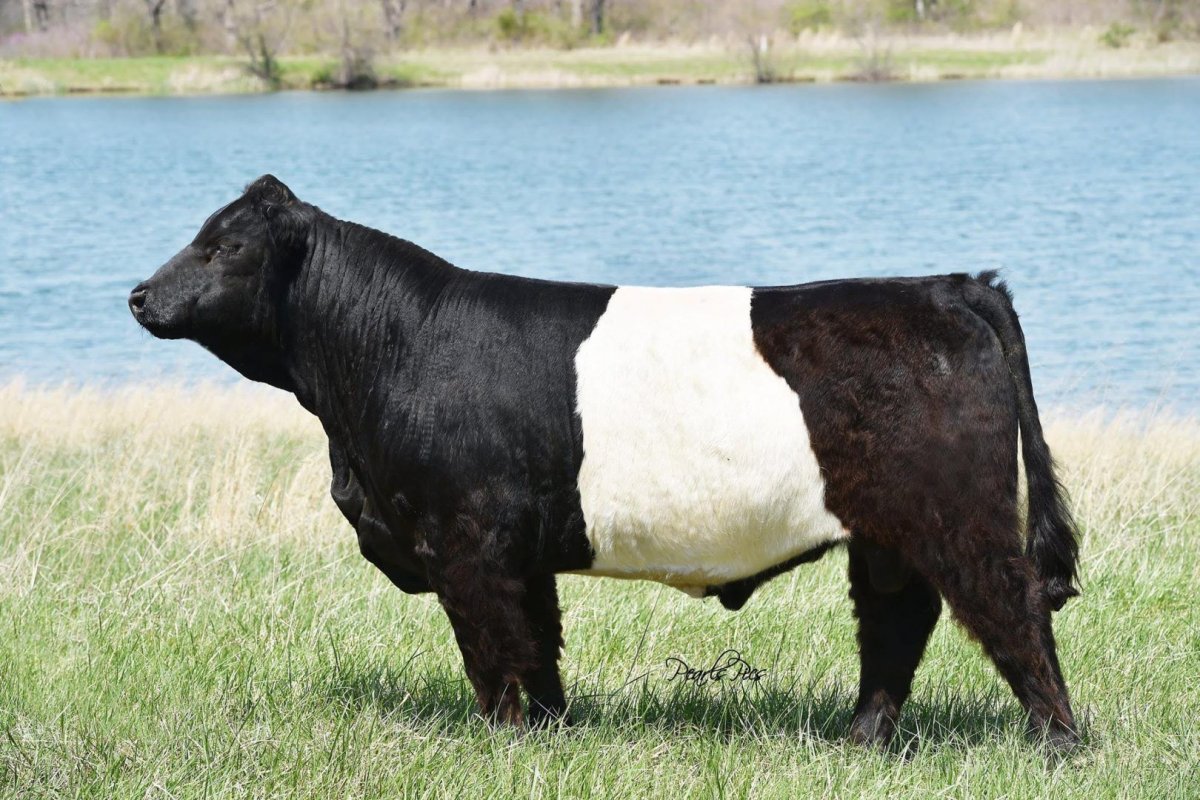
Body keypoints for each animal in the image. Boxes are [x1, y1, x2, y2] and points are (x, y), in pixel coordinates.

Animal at [129, 175, 1082, 752]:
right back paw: (861, 742)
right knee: (895, 624)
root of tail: (949, 284)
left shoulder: (466, 539)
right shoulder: (518, 550)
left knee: (1011, 608)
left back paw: (1059, 743)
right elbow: (538, 645)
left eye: (225, 247)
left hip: (960, 516)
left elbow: (494, 650)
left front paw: (505, 743)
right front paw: (549, 734)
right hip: (887, 534)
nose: (138, 294)